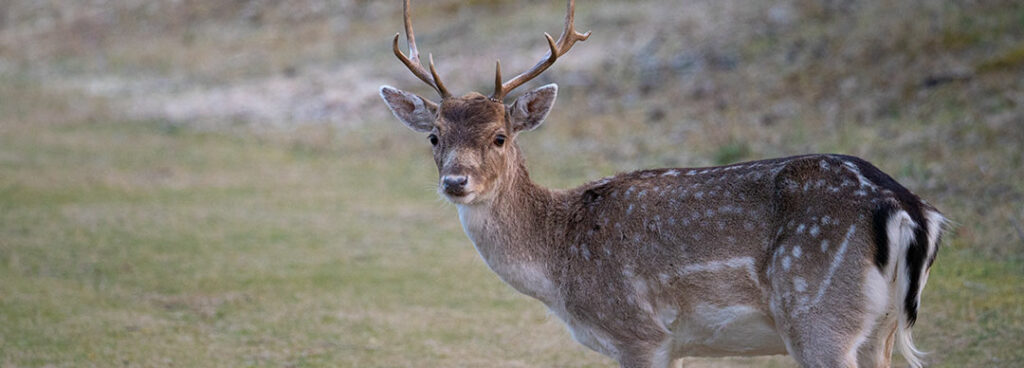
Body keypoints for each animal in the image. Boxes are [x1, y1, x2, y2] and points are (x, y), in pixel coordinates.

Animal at [380, 1, 946, 366]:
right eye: (434, 136)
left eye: (499, 136)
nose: (456, 181)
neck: (559, 265)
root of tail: (910, 209)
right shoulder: (671, 344)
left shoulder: (638, 333)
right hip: (876, 330)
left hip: (817, 315)